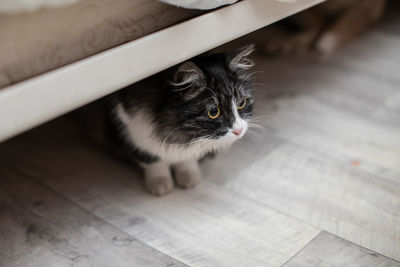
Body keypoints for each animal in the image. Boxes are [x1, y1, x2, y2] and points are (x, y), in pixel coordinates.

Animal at [108, 45, 255, 197]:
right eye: (214, 112)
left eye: (242, 103)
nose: (239, 130)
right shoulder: (131, 127)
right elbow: (153, 160)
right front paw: (160, 183)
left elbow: (186, 158)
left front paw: (188, 176)